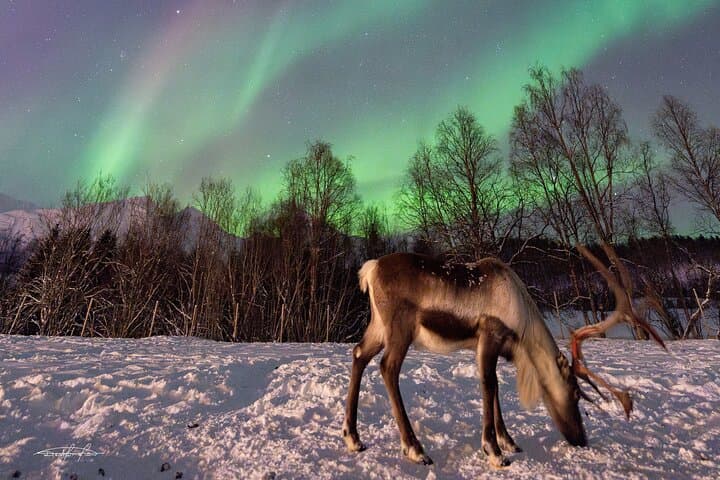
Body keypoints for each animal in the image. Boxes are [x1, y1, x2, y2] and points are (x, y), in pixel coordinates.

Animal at [342, 244, 666, 468]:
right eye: (575, 392)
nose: (580, 439)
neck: (522, 329)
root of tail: (370, 270)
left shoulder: (491, 345)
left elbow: (496, 385)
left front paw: (509, 441)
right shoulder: (490, 333)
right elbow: (488, 384)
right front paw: (495, 452)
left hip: (378, 326)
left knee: (358, 355)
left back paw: (353, 438)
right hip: (400, 328)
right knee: (388, 367)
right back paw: (415, 449)